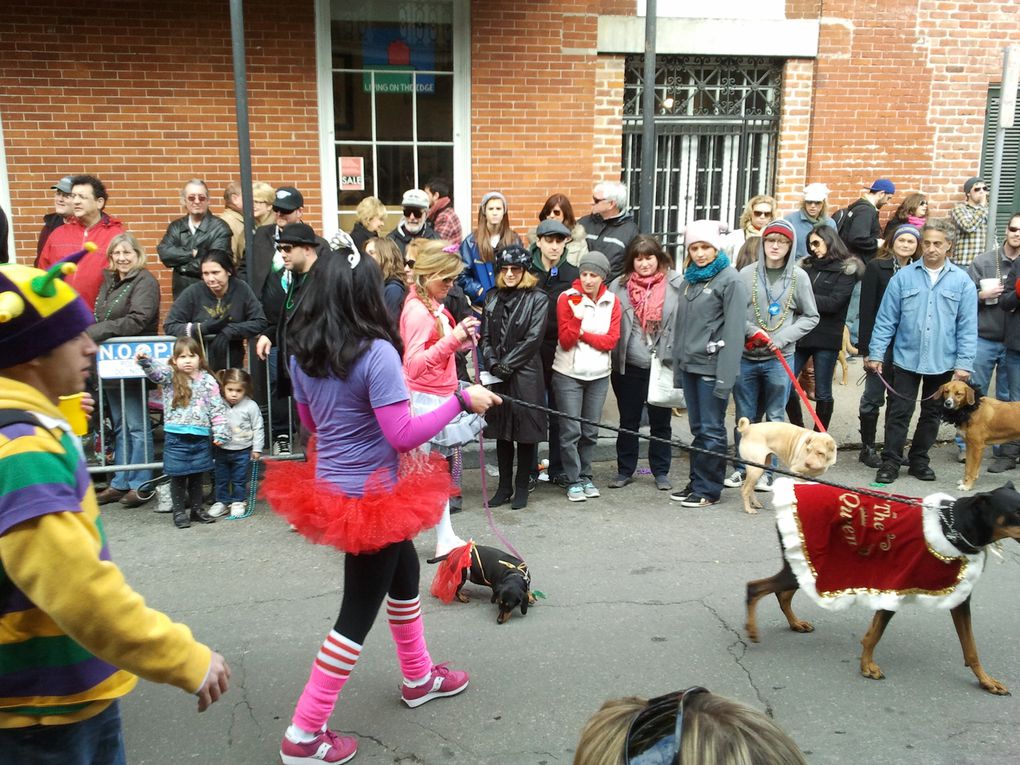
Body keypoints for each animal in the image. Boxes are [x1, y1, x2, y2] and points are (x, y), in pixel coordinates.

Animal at [742, 481, 1020, 697]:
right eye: (1017, 511)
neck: (955, 526)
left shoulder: (960, 597)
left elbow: (971, 647)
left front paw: (987, 681)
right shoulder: (896, 586)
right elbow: (874, 634)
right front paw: (867, 666)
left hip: (808, 565)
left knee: (781, 592)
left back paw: (795, 623)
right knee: (754, 588)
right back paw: (753, 630)